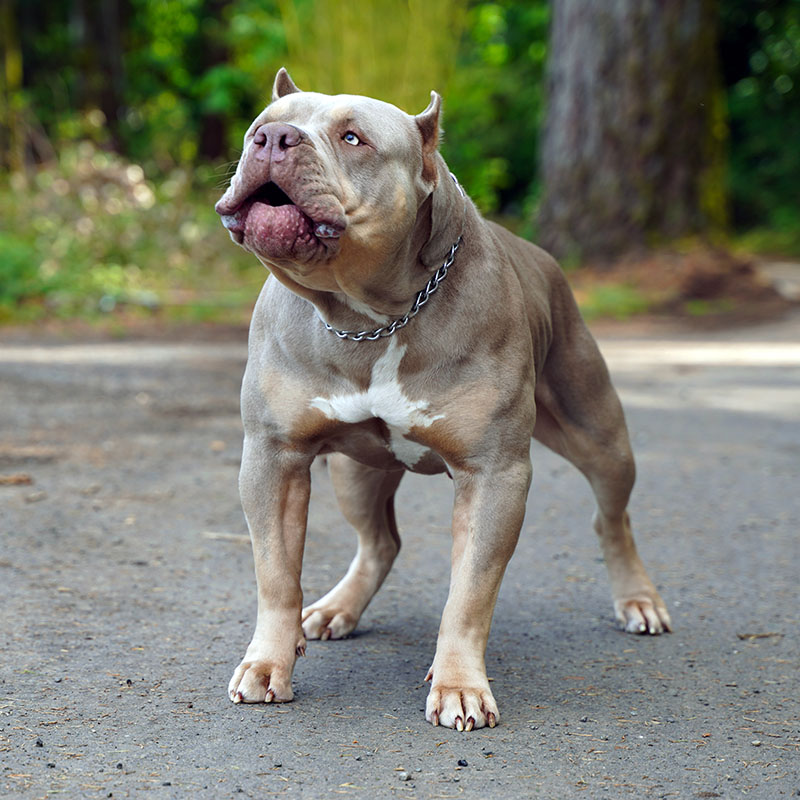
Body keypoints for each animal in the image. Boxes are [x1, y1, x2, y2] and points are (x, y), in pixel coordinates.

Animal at [214, 69, 668, 732]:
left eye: (353, 138)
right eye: (259, 126)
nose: (273, 139)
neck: (370, 317)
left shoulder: (494, 474)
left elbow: (470, 594)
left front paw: (459, 685)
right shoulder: (273, 457)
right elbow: (276, 574)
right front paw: (269, 661)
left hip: (601, 436)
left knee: (613, 518)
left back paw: (638, 599)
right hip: (354, 471)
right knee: (379, 542)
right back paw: (336, 608)